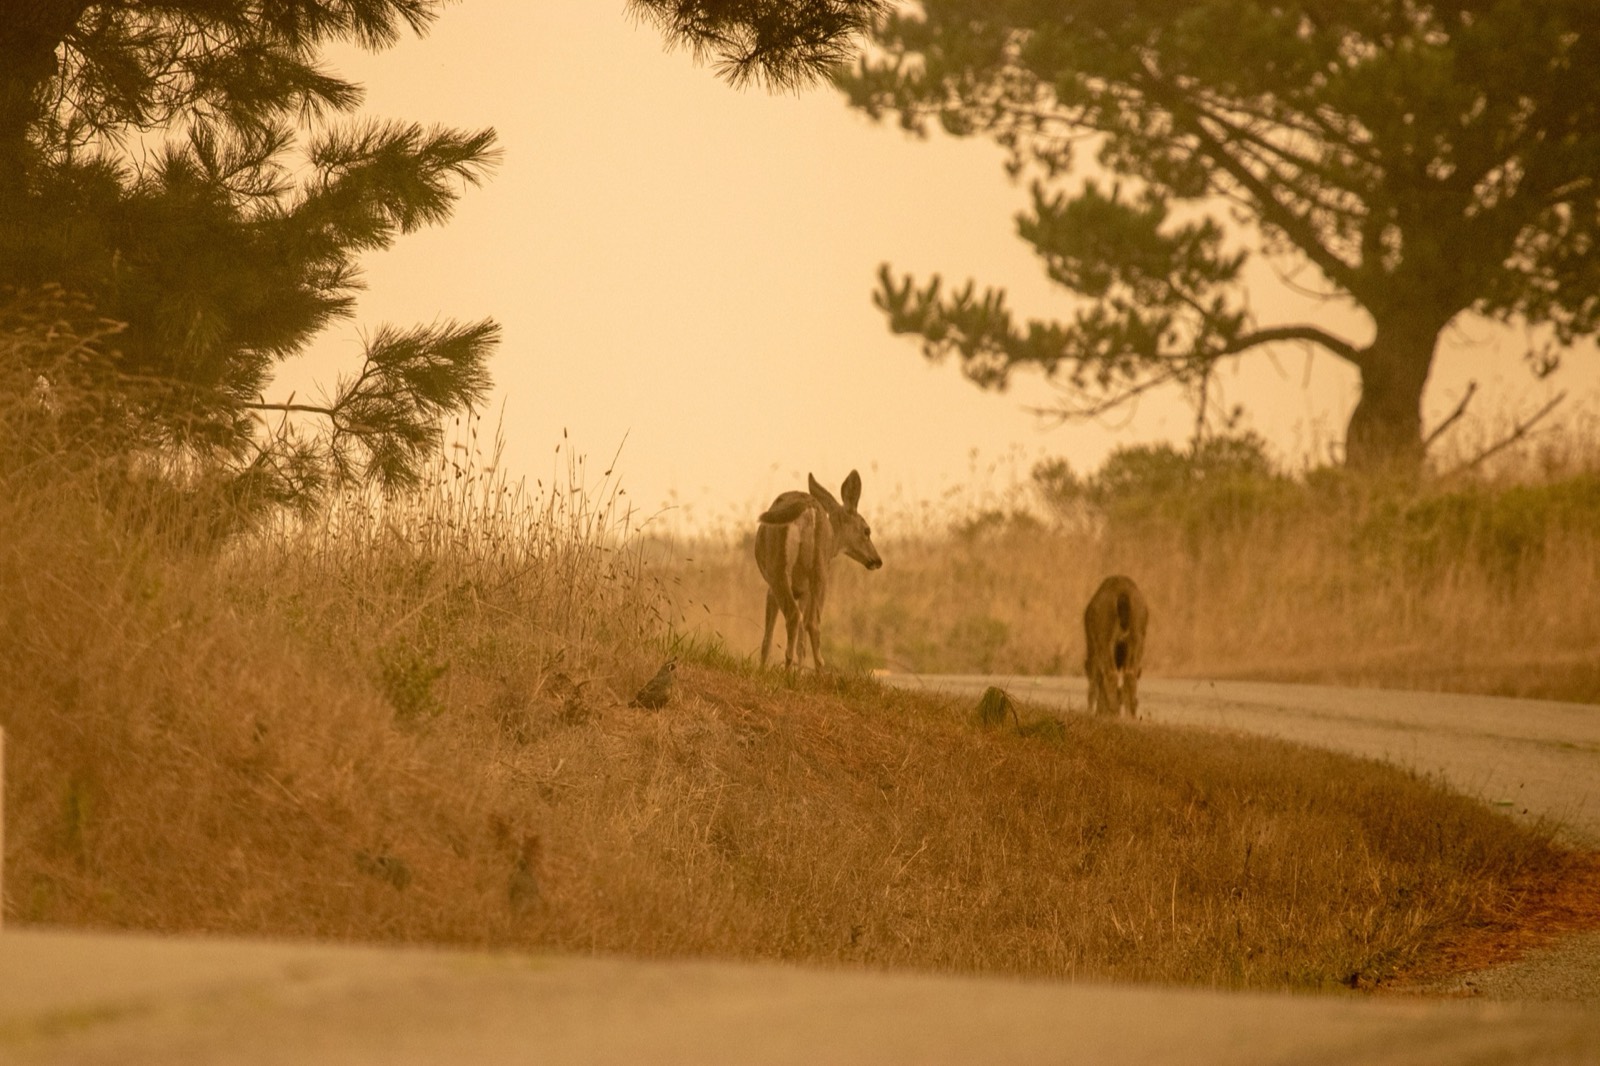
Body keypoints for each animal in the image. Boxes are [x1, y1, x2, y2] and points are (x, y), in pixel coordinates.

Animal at [755, 470, 882, 670]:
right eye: (867, 530)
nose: (877, 560)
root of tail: (808, 508)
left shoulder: (773, 590)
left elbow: (768, 638)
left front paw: (763, 670)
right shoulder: (804, 591)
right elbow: (801, 641)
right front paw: (798, 671)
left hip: (778, 567)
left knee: (794, 616)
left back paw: (788, 668)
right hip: (820, 568)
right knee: (812, 622)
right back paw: (818, 669)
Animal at [1083, 575, 1149, 717]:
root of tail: (1122, 593)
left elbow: (1095, 681)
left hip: (1105, 638)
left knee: (1110, 673)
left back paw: (1112, 712)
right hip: (1137, 637)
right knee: (1130, 673)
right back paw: (1130, 716)